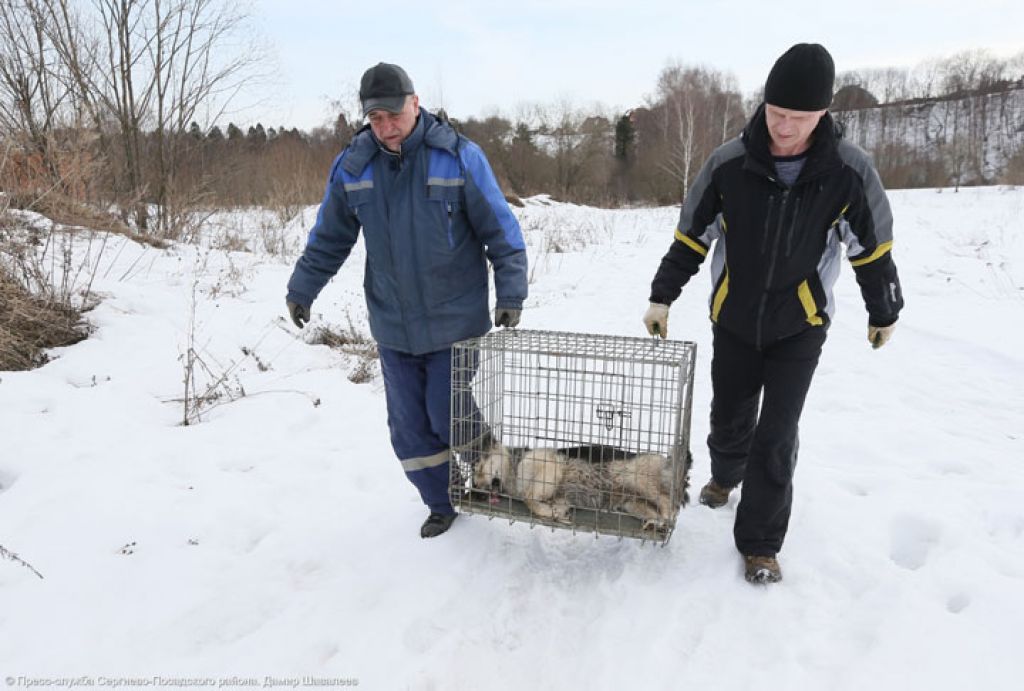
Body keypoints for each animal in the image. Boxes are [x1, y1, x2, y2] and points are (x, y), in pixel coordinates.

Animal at [471, 440, 688, 532]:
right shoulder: (562, 499)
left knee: (669, 504)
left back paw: (667, 517)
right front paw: (556, 514)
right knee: (657, 512)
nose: (477, 492)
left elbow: (529, 498)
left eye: (479, 468)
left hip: (638, 479)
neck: (513, 468)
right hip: (631, 503)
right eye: (473, 479)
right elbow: (548, 507)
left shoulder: (550, 467)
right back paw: (655, 523)